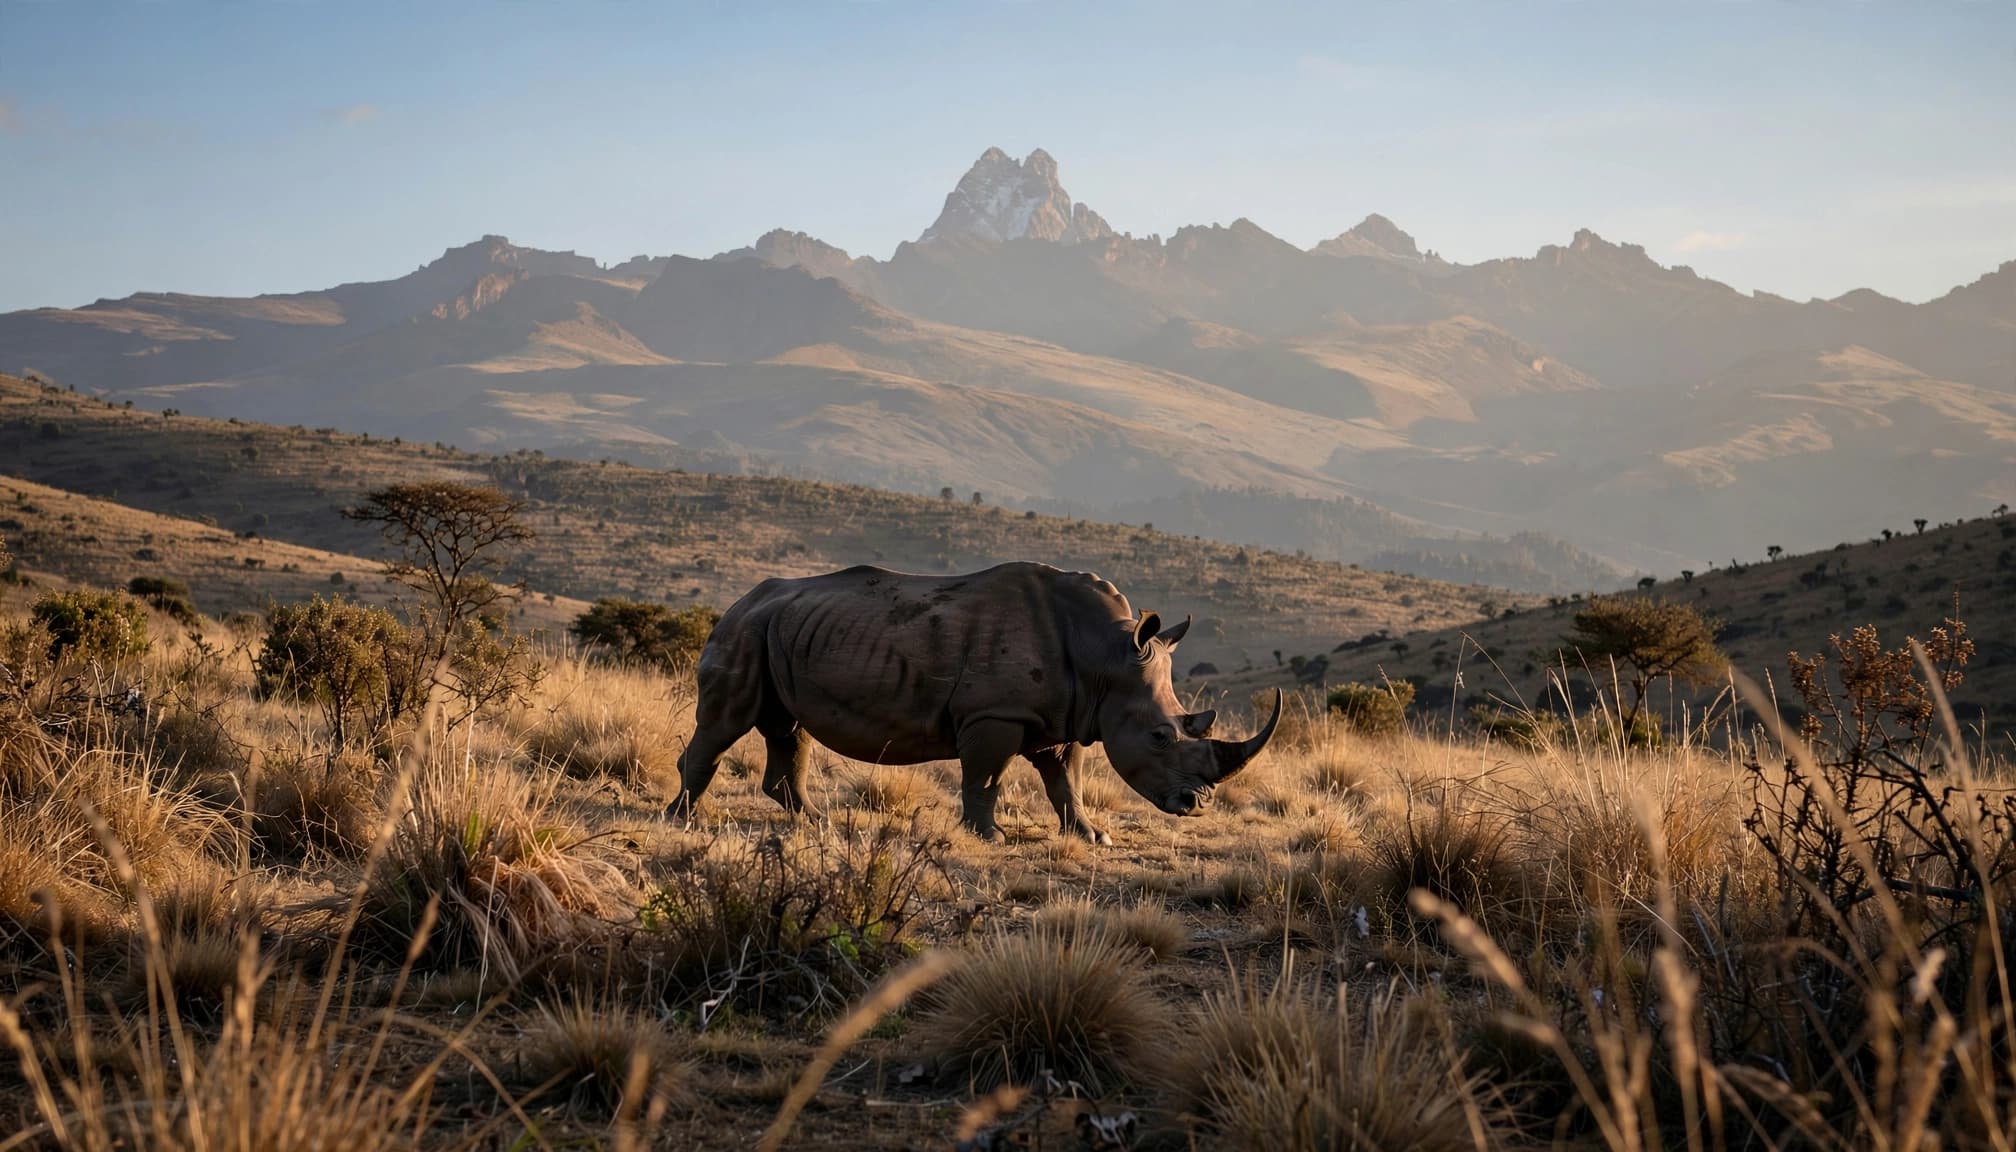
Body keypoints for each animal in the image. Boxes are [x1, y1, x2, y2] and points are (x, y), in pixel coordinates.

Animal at [668, 561, 1281, 841]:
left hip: (780, 630)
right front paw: (991, 837)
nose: (1195, 805)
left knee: (787, 728)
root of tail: (742, 599)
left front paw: (1090, 836)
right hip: (745, 630)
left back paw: (818, 823)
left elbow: (1067, 782)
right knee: (727, 722)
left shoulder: (1065, 717)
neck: (1106, 656)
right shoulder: (995, 715)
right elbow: (986, 777)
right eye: (1160, 736)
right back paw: (682, 821)